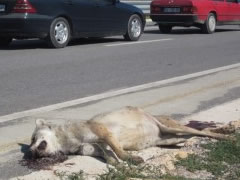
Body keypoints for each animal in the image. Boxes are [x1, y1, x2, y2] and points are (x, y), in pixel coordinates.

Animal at [29, 106, 229, 164]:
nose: (32, 152)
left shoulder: (104, 132)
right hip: (170, 138)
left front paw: (130, 159)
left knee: (202, 131)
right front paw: (115, 164)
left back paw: (227, 136)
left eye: (32, 139)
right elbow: (108, 155)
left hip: (173, 128)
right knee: (192, 137)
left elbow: (118, 150)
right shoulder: (97, 147)